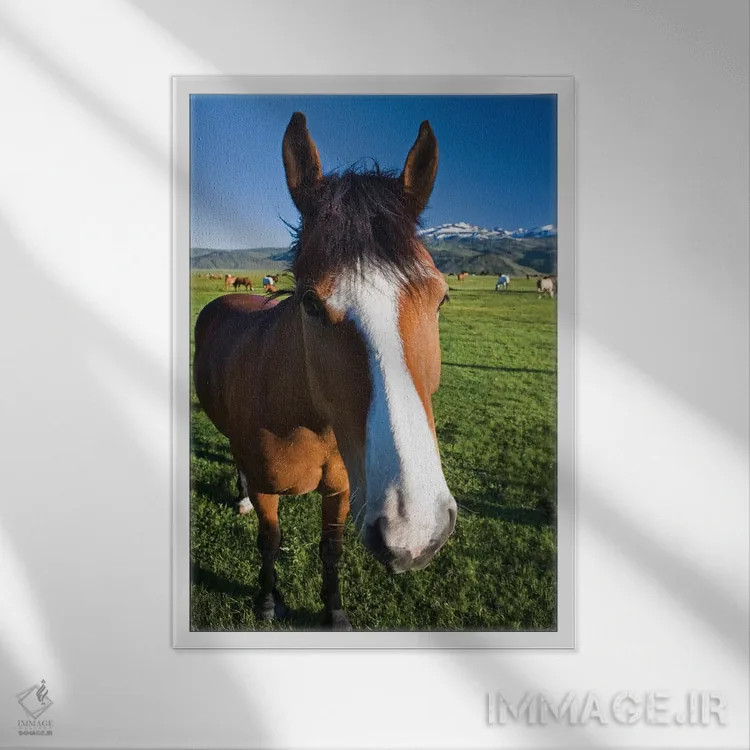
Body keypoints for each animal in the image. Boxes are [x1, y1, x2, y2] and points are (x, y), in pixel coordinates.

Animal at [194, 112, 457, 630]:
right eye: (311, 303)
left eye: (441, 298)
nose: (413, 526)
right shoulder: (269, 491)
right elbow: (269, 541)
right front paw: (267, 601)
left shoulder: (340, 490)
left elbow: (331, 549)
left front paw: (334, 611)